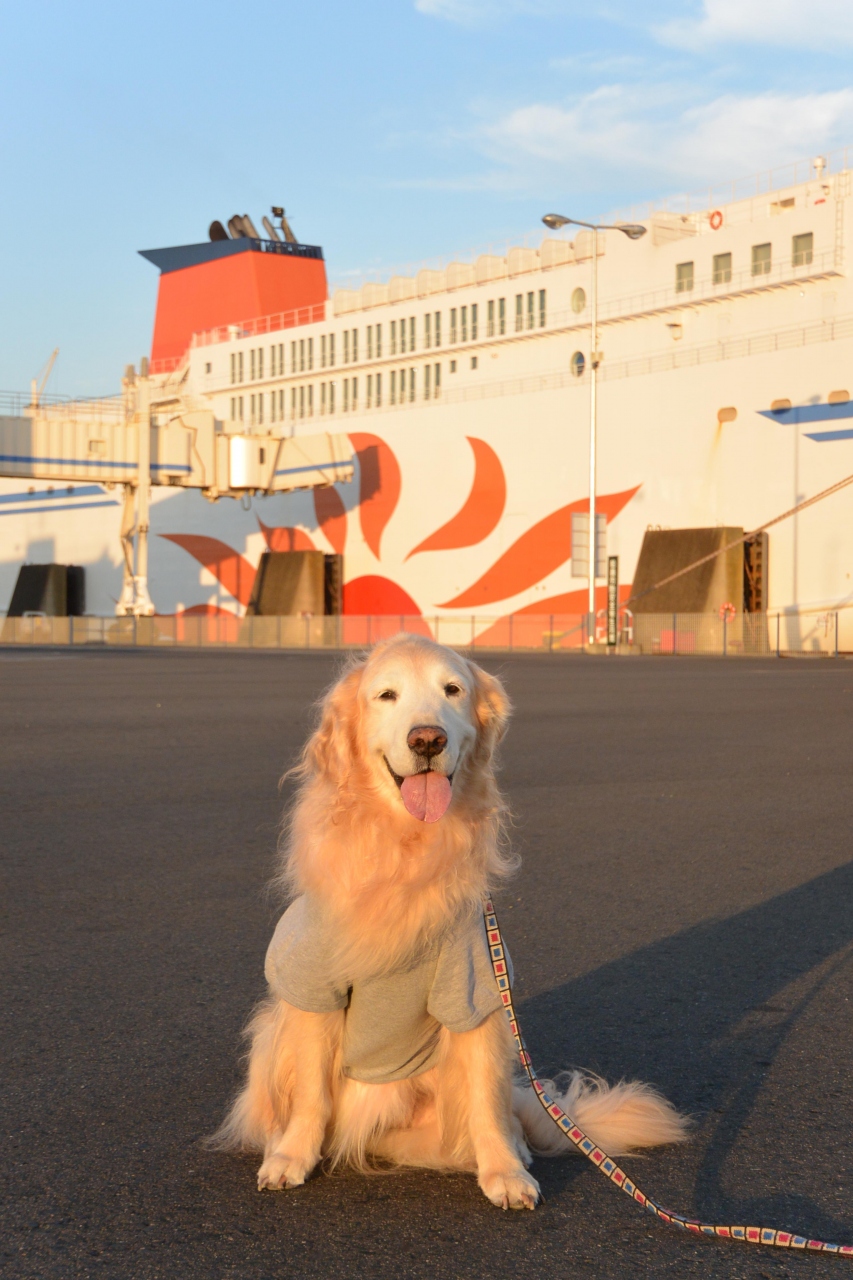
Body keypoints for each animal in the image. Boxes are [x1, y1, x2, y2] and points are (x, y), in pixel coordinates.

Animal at [212, 634, 686, 1203]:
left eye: (453, 690)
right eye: (386, 695)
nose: (427, 740)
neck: (407, 853)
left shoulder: (477, 993)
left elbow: (485, 1095)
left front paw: (504, 1172)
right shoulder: (313, 988)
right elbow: (310, 1092)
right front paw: (291, 1156)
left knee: (501, 1113)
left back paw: (512, 1148)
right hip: (269, 1033)